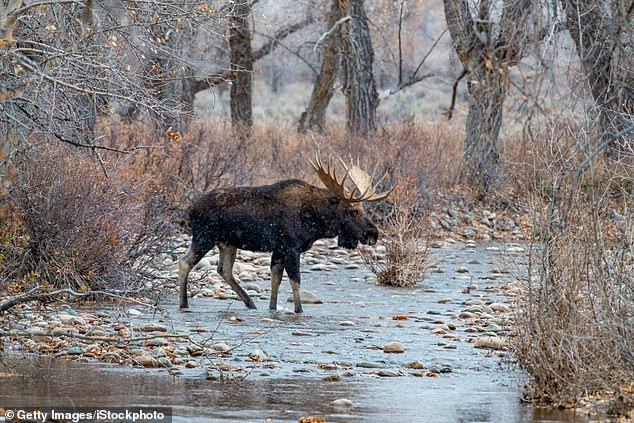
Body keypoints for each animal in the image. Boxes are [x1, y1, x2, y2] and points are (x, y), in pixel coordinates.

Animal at [175, 157, 388, 314]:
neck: (317, 222)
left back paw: (250, 303)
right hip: (205, 236)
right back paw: (184, 303)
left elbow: (276, 279)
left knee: (224, 270)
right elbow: (295, 280)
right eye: (353, 211)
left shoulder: (278, 249)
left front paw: (272, 308)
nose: (373, 233)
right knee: (185, 262)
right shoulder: (291, 248)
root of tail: (191, 211)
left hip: (227, 243)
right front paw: (299, 310)